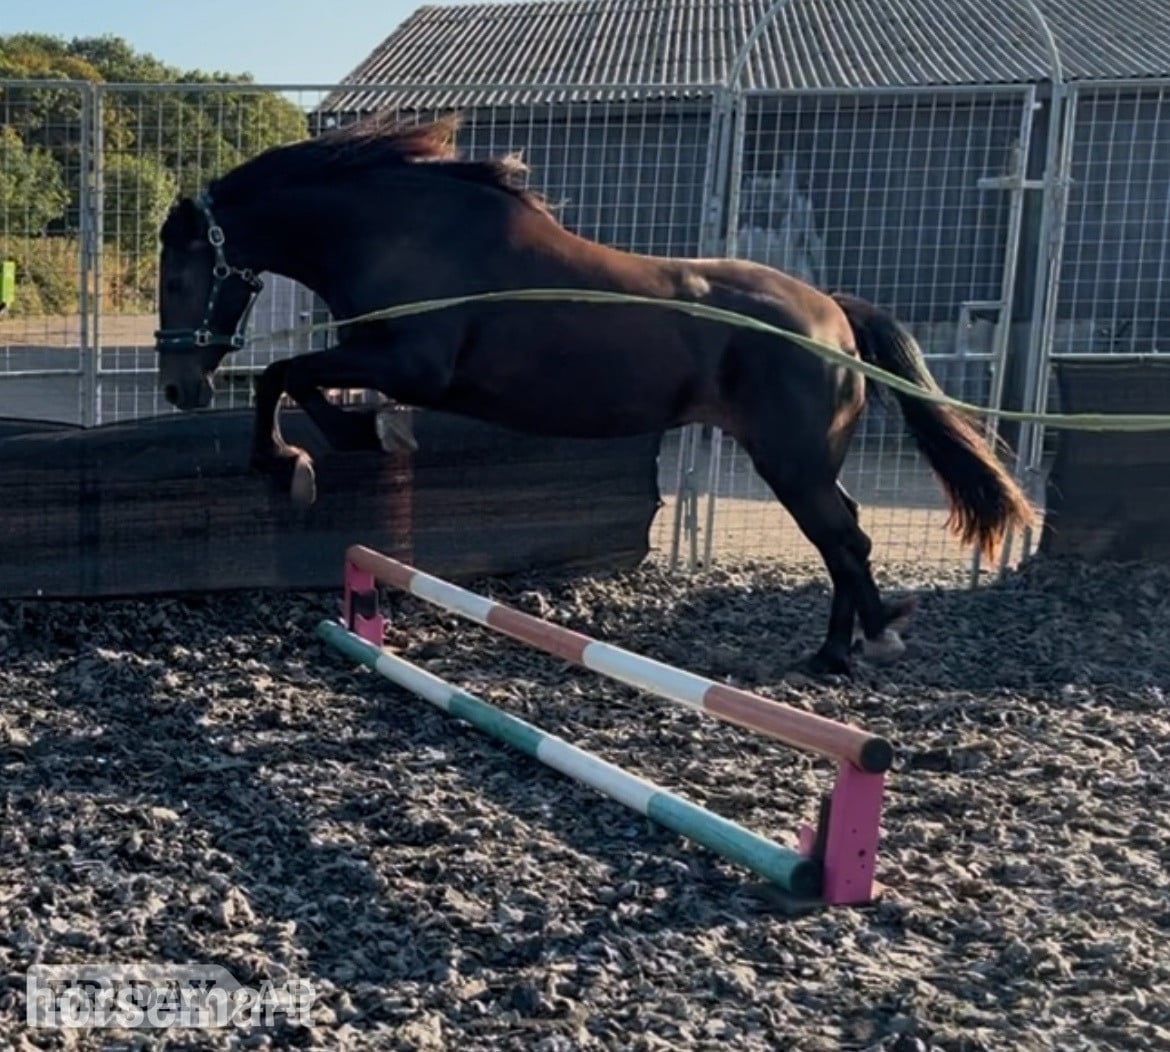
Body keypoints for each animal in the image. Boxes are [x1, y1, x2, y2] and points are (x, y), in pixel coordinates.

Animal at [154, 112, 1036, 677]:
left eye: (178, 275)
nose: (179, 385)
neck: (403, 233)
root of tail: (831, 314)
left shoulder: (410, 363)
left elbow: (285, 377)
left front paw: (301, 461)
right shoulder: (383, 359)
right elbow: (301, 381)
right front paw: (347, 443)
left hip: (791, 462)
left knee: (846, 541)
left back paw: (858, 646)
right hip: (805, 461)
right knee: (843, 537)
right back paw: (839, 650)